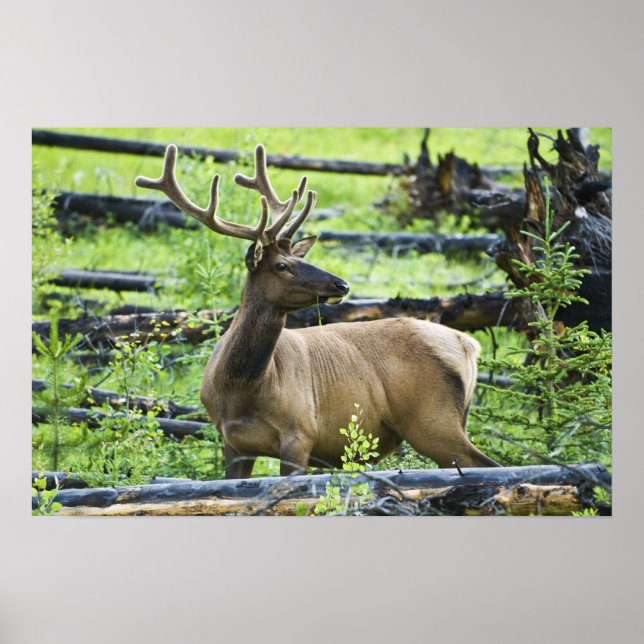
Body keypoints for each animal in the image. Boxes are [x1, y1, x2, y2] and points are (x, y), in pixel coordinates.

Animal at [135, 143, 499, 478]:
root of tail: (468, 344)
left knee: (488, 465)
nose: (342, 285)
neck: (242, 390)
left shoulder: (300, 433)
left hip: (432, 419)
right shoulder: (233, 442)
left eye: (298, 259)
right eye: (282, 265)